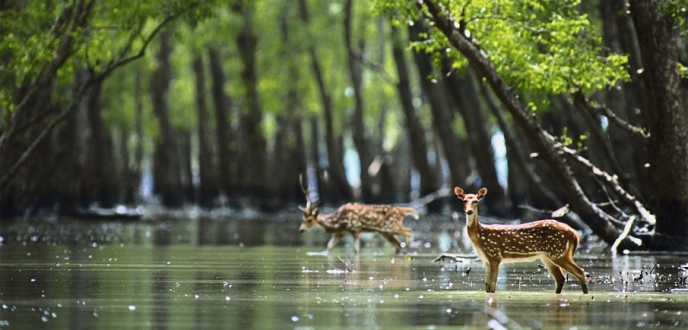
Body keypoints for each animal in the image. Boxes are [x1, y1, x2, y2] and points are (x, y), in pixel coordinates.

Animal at [454, 187, 588, 292]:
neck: (480, 237)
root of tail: (574, 233)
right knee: (561, 278)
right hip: (548, 256)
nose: (469, 211)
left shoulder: (494, 256)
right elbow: (487, 286)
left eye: (476, 201)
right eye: (464, 200)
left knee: (580, 272)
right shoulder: (486, 260)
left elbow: (492, 286)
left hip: (558, 252)